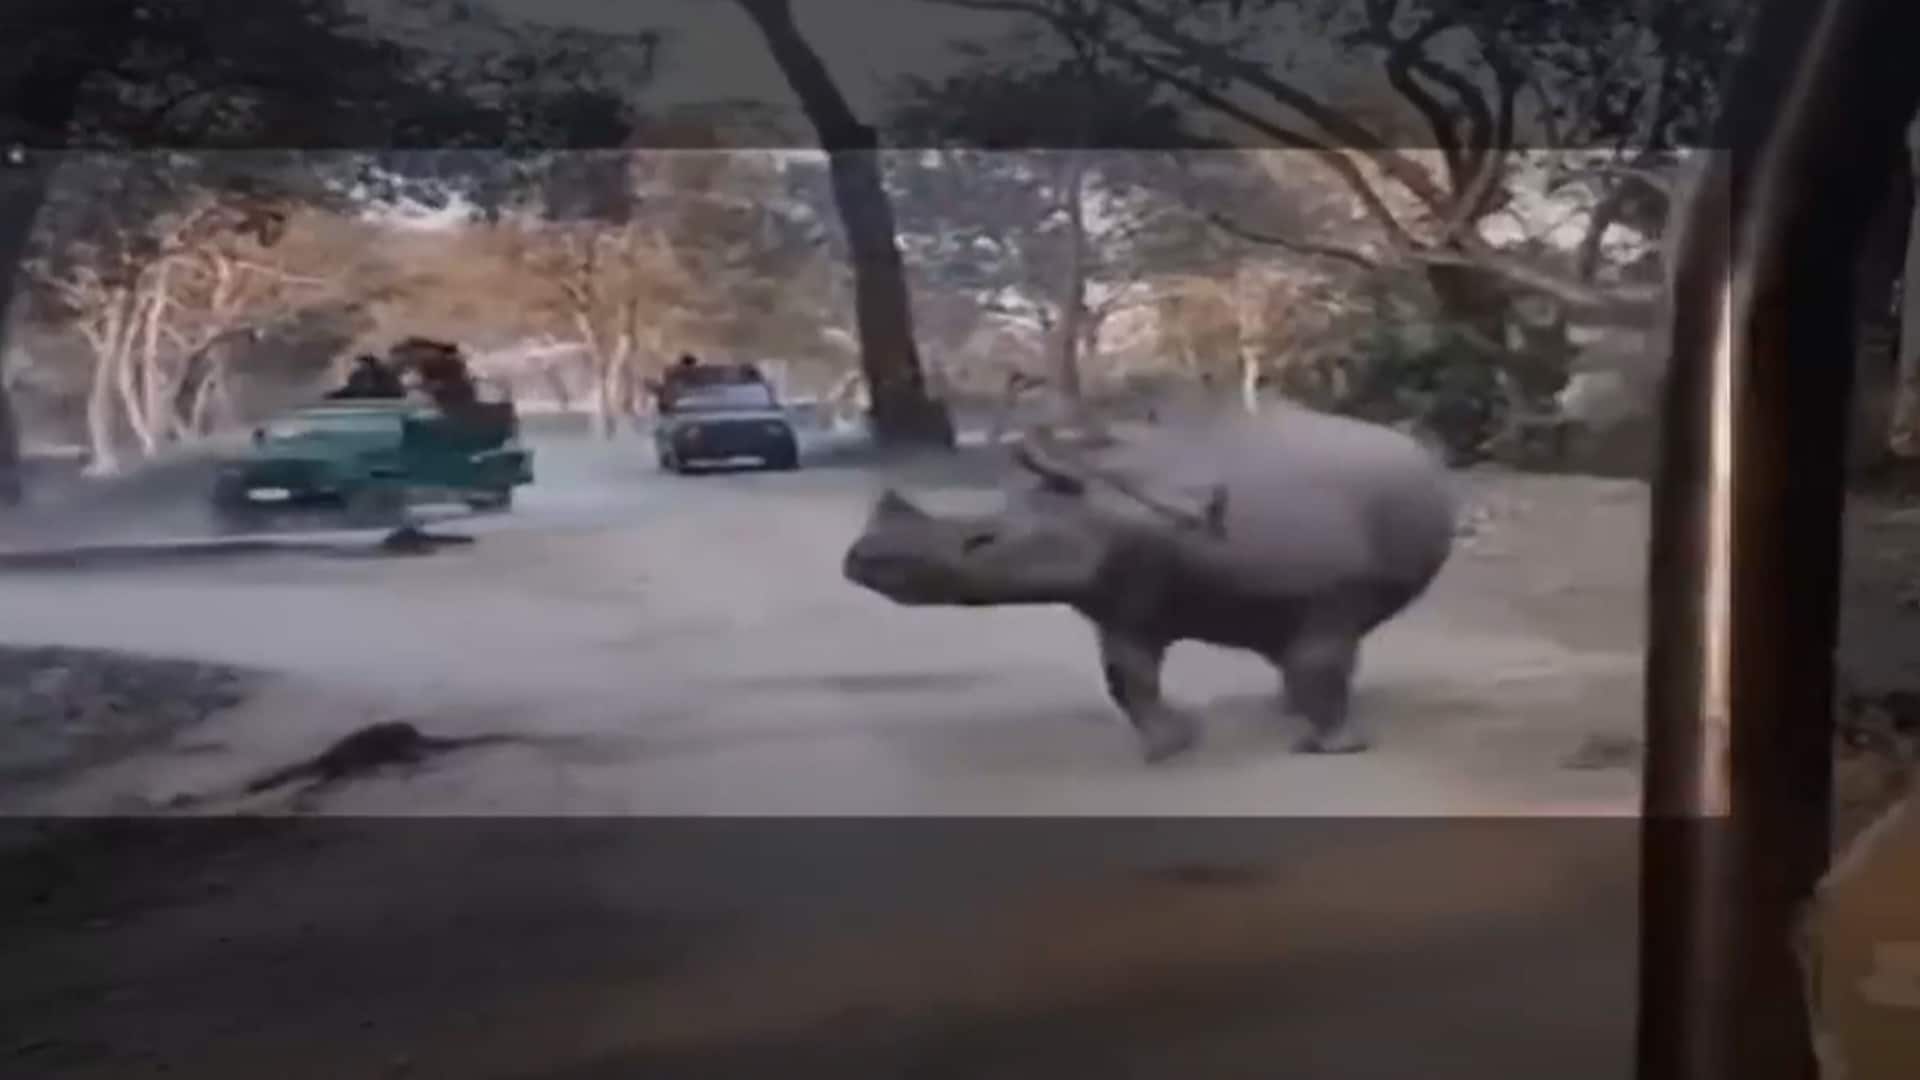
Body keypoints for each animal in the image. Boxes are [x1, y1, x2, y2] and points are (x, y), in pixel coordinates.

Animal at [841, 403, 1458, 762]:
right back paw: (1280, 707)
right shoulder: (1121, 600)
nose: (862, 559)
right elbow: (1127, 677)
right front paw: (1172, 746)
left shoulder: (1325, 592)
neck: (1105, 500)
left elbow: (1318, 660)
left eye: (983, 540)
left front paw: (1336, 750)